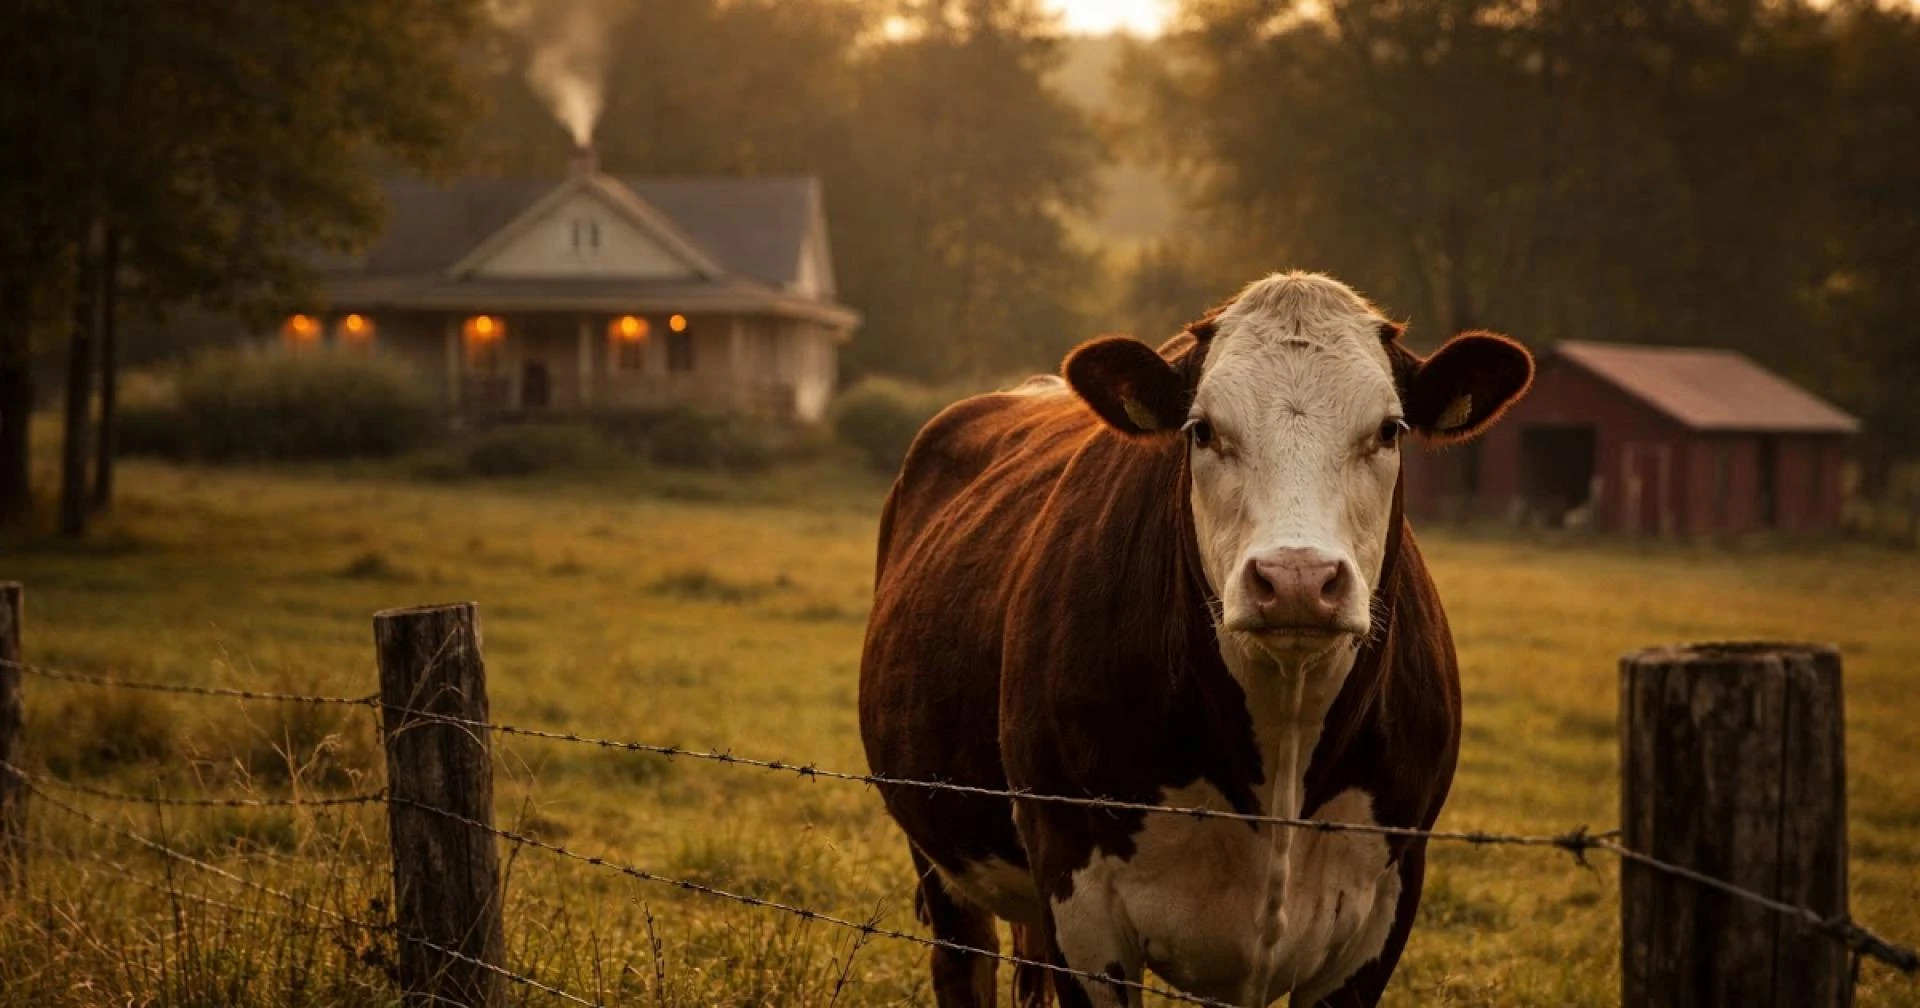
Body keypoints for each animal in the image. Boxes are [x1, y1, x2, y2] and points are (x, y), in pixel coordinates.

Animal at [858, 272, 1534, 1007]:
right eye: (1203, 430)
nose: (1297, 579)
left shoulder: (1384, 904)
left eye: (1388, 430)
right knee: (963, 962)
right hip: (937, 849)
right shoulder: (1078, 895)